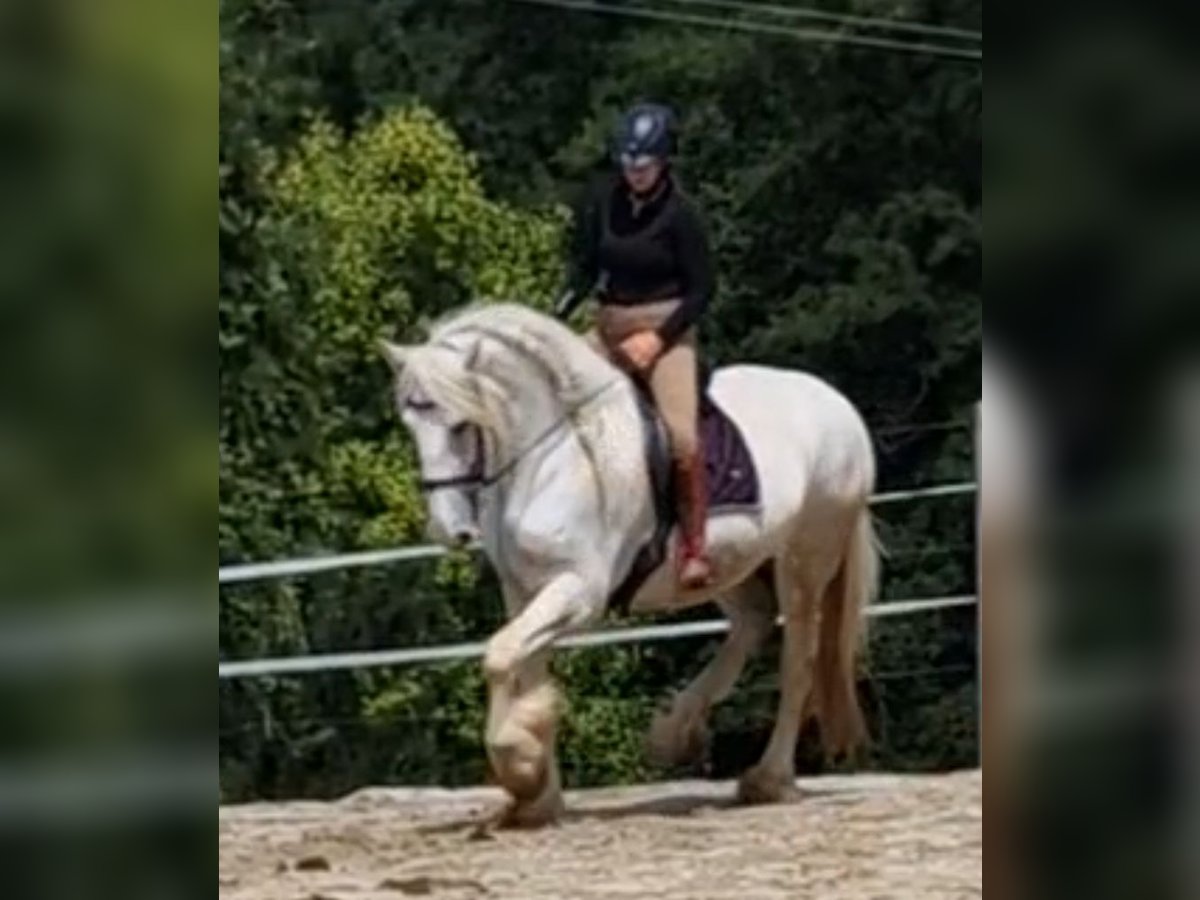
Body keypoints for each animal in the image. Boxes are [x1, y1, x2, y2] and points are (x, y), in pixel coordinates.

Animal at [384, 304, 883, 830]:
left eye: (461, 425)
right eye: (410, 425)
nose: (449, 531)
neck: (550, 459)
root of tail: (838, 405)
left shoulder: (579, 592)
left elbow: (500, 656)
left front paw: (521, 766)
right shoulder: (525, 592)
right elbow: (526, 670)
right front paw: (538, 795)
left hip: (804, 559)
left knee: (798, 661)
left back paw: (767, 780)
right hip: (733, 563)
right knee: (753, 621)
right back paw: (674, 732)